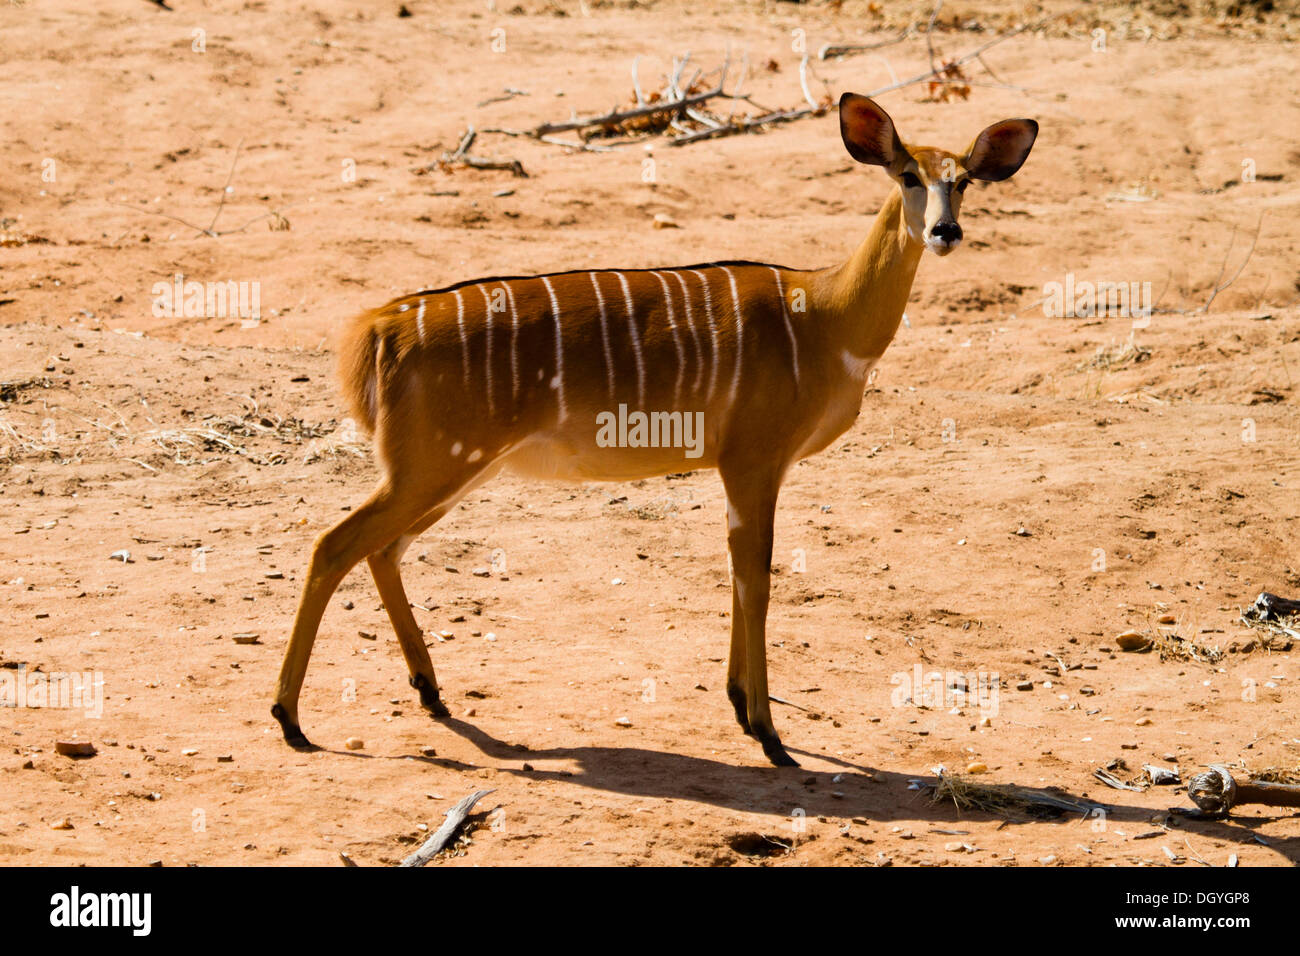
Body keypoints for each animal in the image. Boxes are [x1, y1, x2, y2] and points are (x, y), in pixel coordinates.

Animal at [274, 95, 1034, 770]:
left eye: (963, 181)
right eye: (906, 174)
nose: (944, 233)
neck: (823, 316)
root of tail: (382, 323)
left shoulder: (743, 468)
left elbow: (738, 572)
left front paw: (739, 706)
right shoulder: (752, 459)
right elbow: (756, 578)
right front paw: (769, 735)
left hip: (452, 470)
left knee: (381, 549)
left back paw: (430, 692)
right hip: (433, 466)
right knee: (333, 544)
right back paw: (289, 718)